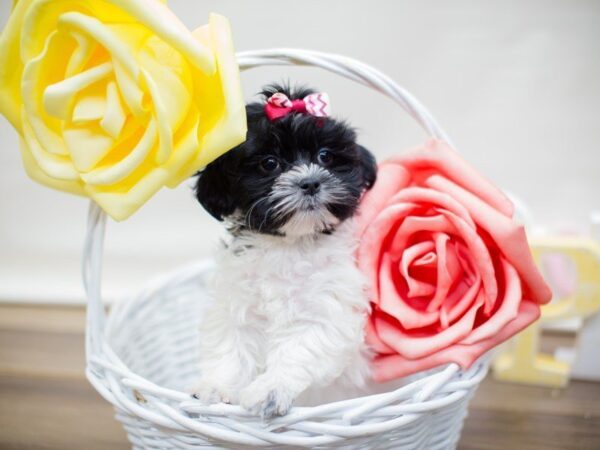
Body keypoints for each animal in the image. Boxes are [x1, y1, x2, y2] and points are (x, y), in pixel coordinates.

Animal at [192, 83, 376, 418]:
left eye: (325, 156)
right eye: (269, 163)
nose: (310, 182)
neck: (289, 245)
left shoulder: (328, 311)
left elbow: (300, 348)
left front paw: (270, 390)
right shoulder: (235, 304)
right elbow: (231, 346)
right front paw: (216, 387)